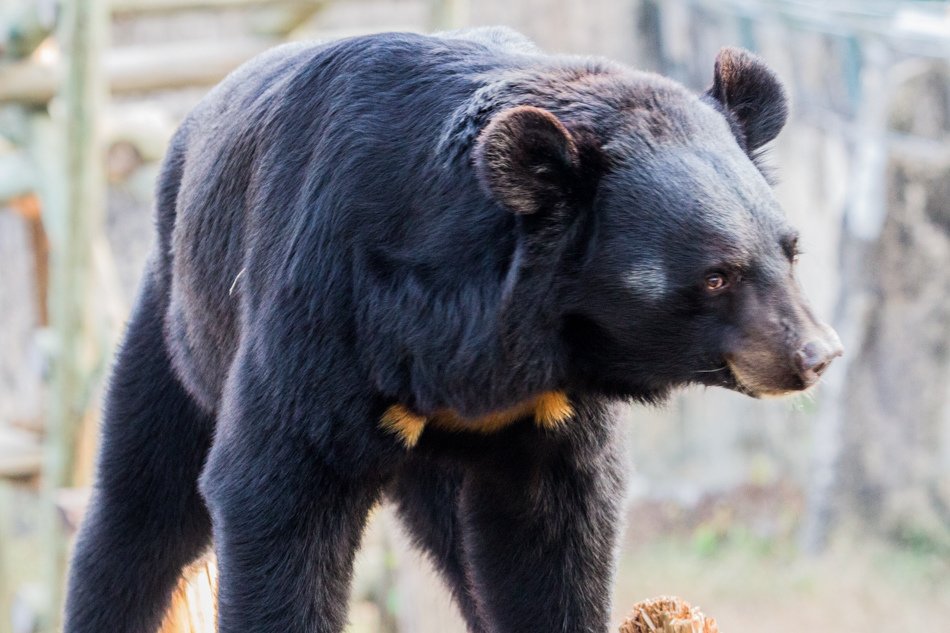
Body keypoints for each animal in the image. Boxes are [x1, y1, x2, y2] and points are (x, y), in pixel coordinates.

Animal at [63, 27, 844, 632]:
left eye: (790, 250)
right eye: (716, 275)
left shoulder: (551, 403)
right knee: (141, 512)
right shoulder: (327, 303)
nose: (818, 355)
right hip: (179, 322)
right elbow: (276, 487)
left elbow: (554, 534)